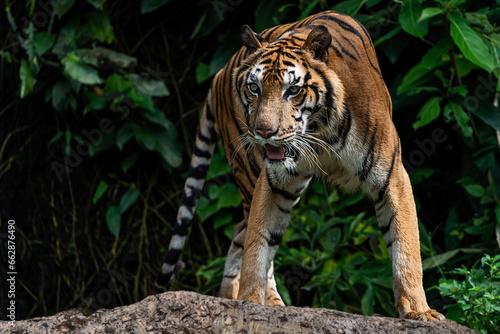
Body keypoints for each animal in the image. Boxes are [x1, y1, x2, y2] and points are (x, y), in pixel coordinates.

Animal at [157, 9, 446, 320]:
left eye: (293, 90)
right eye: (254, 88)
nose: (263, 132)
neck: (321, 133)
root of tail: (222, 71)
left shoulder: (392, 176)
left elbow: (406, 245)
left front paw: (418, 311)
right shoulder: (272, 182)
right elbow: (258, 245)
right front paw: (250, 302)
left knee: (237, 232)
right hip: (249, 172)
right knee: (244, 233)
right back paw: (266, 301)